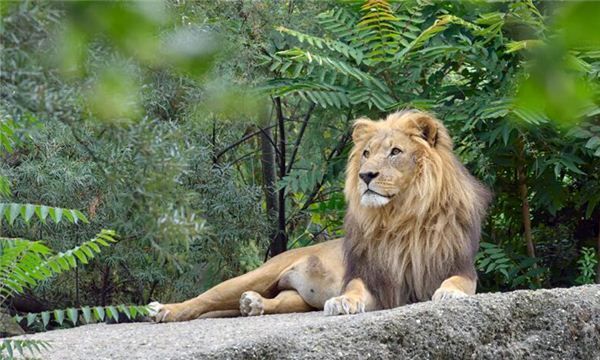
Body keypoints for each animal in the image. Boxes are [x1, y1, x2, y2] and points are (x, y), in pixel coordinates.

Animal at [149, 109, 488, 320]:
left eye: (395, 152)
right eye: (366, 153)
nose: (366, 175)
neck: (402, 216)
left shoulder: (461, 267)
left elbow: (457, 282)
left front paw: (448, 294)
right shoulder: (372, 279)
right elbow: (354, 289)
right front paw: (342, 301)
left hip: (295, 297)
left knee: (278, 302)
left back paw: (253, 305)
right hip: (260, 273)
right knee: (205, 299)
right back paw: (165, 311)